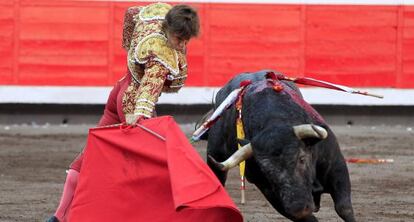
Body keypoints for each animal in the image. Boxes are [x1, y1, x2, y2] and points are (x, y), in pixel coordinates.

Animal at [205, 71, 354, 222]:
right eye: (265, 171)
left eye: (301, 158)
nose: (299, 208)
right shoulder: (269, 191)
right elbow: (309, 218)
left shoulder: (336, 165)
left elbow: (344, 208)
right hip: (215, 154)